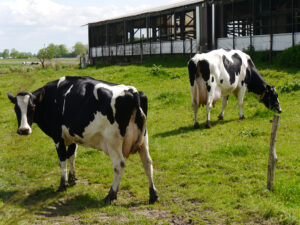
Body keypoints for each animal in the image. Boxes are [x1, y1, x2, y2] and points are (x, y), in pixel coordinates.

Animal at [7, 76, 158, 204]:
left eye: (32, 107)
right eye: (16, 109)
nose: (23, 130)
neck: (51, 98)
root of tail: (133, 92)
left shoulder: (58, 137)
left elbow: (62, 160)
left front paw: (63, 184)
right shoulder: (73, 136)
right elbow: (72, 156)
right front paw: (73, 178)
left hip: (113, 141)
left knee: (119, 165)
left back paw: (111, 195)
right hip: (144, 139)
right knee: (147, 162)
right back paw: (153, 195)